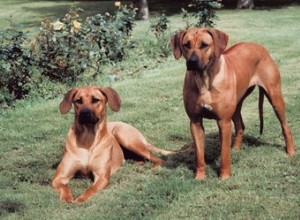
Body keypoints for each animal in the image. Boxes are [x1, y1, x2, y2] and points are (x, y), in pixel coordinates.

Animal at [171, 27, 296, 180]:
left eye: (204, 45)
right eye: (186, 45)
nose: (192, 61)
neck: (204, 79)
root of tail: (259, 46)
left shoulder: (224, 121)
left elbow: (224, 153)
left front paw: (224, 176)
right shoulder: (195, 122)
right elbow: (199, 154)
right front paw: (200, 176)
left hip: (275, 97)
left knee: (285, 126)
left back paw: (291, 151)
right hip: (237, 103)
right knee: (240, 126)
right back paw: (235, 148)